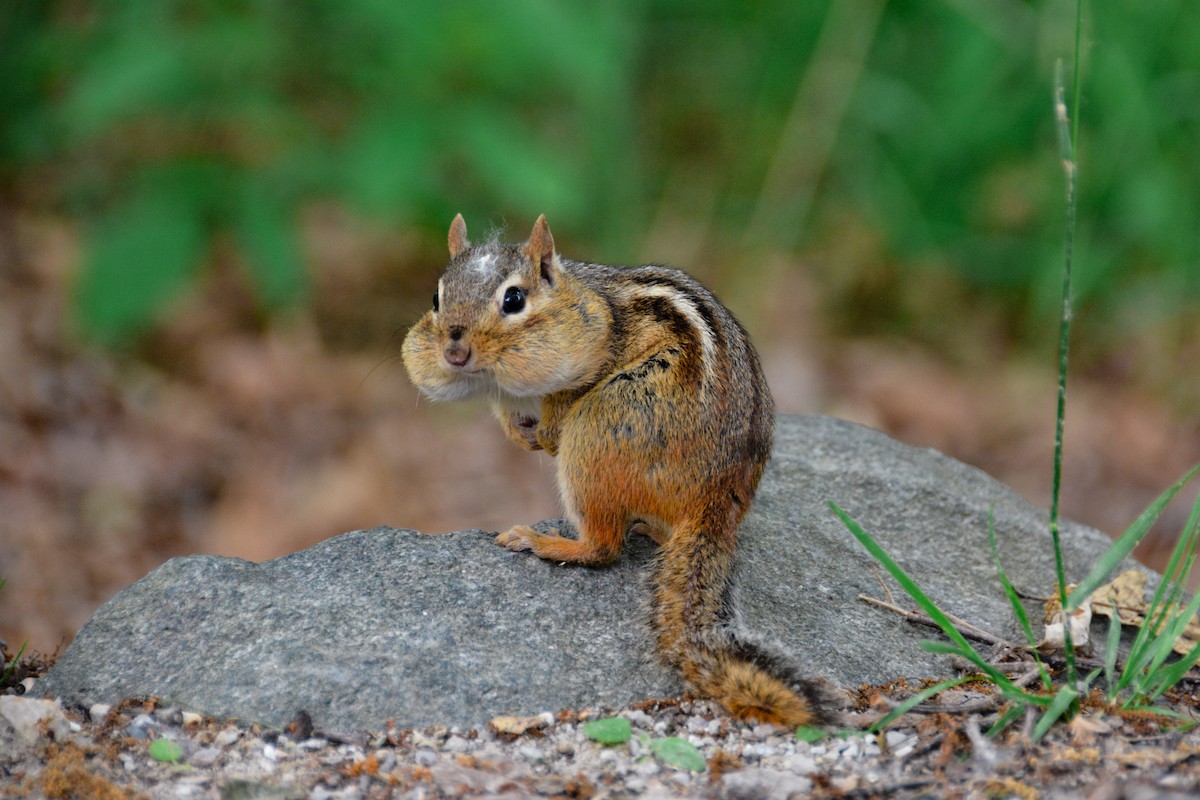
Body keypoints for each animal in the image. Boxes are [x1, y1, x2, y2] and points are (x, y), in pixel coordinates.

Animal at [402, 214, 828, 727]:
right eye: (436, 298)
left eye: (513, 299)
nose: (455, 352)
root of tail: (720, 495)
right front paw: (519, 433)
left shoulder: (593, 359)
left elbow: (563, 400)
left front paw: (545, 434)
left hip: (601, 424)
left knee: (603, 546)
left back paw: (544, 542)